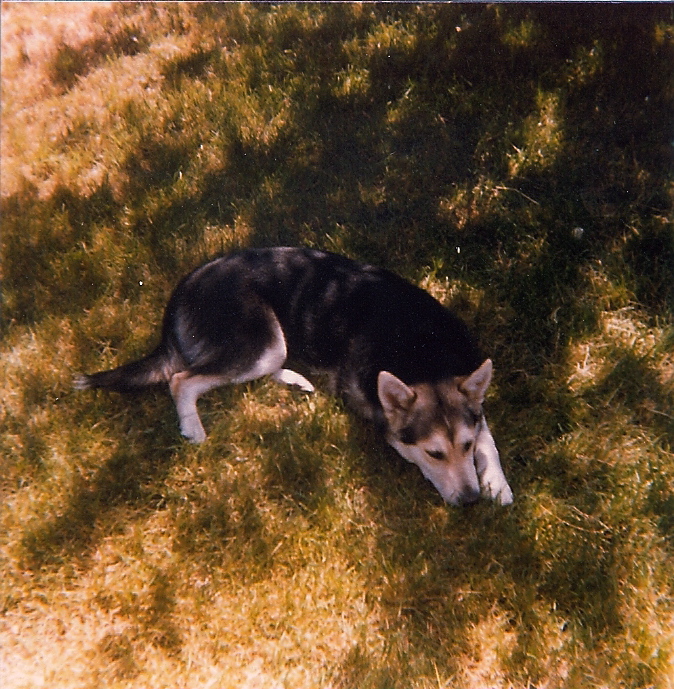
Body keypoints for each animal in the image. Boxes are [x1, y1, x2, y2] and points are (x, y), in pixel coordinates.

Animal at [75, 247, 510, 506]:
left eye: (465, 445)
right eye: (434, 453)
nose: (471, 501)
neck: (423, 353)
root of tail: (186, 284)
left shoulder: (471, 406)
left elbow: (489, 439)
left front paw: (497, 484)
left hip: (270, 347)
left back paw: (295, 379)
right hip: (264, 341)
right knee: (182, 379)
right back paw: (193, 427)